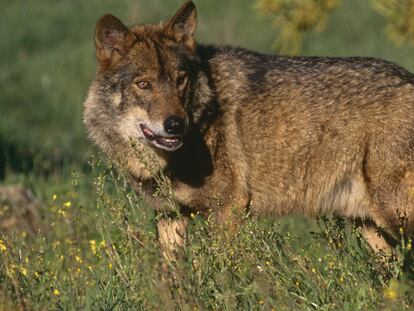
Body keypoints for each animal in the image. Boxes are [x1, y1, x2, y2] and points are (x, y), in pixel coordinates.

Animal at [82, 0, 414, 256]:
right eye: (144, 84)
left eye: (180, 80)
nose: (176, 125)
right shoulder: (169, 215)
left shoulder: (228, 210)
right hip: (370, 227)